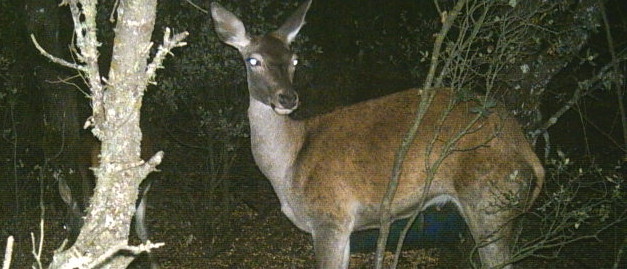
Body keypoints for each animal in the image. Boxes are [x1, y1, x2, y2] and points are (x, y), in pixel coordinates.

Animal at [211, 1, 544, 266]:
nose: (287, 98)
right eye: (252, 60)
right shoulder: (343, 227)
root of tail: (526, 149)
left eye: (294, 59)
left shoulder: (330, 217)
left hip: (491, 199)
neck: (288, 169)